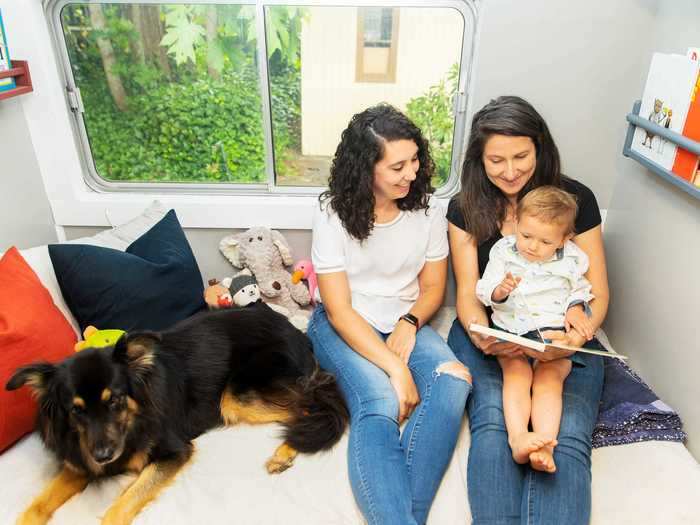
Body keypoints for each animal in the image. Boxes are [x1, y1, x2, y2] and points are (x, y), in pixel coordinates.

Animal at [6, 304, 348, 520]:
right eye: (75, 411)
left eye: (115, 400)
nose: (103, 455)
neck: (133, 419)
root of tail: (298, 334)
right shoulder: (80, 462)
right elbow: (36, 506)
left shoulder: (173, 452)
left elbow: (120, 506)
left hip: (236, 396)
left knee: (313, 412)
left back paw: (284, 453)